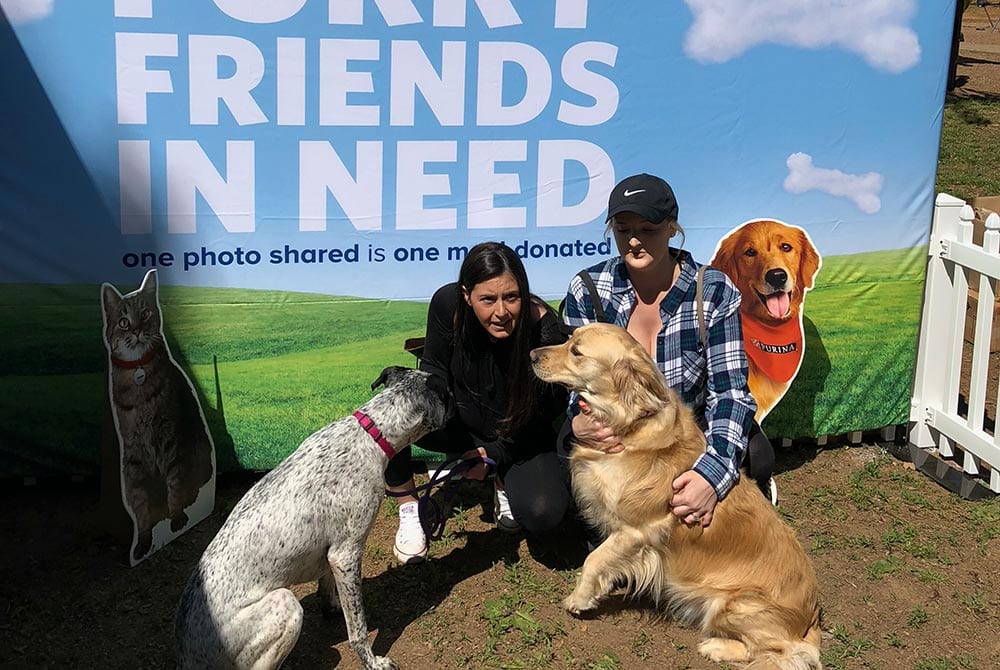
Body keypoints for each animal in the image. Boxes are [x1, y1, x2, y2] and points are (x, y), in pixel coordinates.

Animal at [176, 368, 450, 670]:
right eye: (448, 394)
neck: (370, 433)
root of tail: (186, 657)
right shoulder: (346, 553)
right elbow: (358, 629)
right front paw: (372, 661)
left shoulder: (332, 553)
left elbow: (329, 587)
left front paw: (332, 607)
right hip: (286, 604)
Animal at [532, 322, 820, 668]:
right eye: (568, 337)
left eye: (576, 351)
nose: (532, 354)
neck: (629, 422)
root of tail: (810, 619)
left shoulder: (637, 529)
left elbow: (594, 559)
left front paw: (579, 598)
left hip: (734, 605)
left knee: (778, 652)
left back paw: (716, 647)